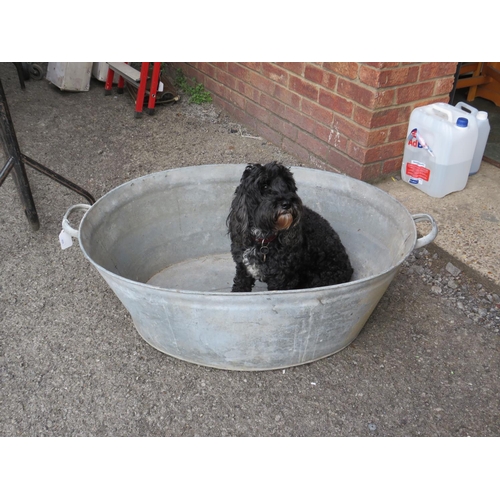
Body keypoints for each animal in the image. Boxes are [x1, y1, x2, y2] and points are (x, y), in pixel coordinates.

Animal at [227, 162, 352, 292]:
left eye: (287, 185)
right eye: (265, 186)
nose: (287, 203)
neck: (263, 240)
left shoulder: (282, 280)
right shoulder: (243, 269)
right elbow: (240, 286)